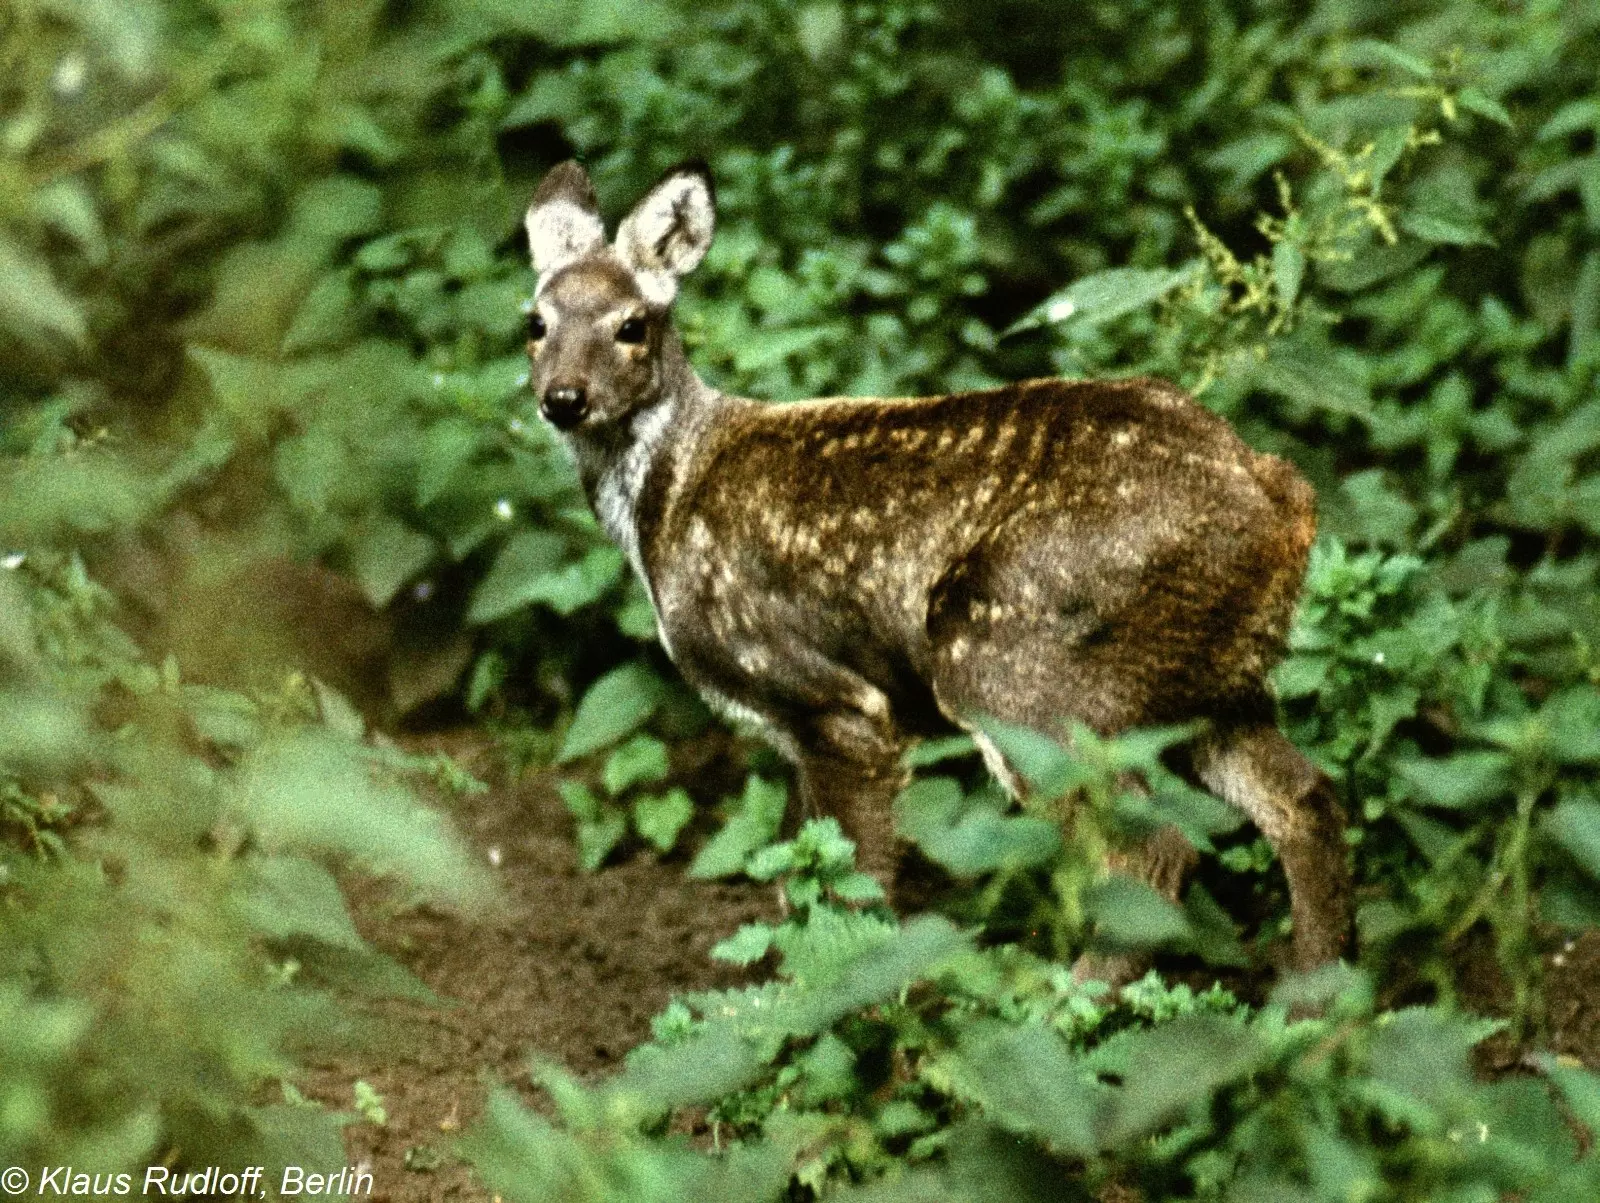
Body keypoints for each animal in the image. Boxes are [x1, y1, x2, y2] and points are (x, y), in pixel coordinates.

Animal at [521, 159, 1350, 979]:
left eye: (632, 324)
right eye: (535, 323)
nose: (563, 398)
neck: (670, 499)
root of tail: (1284, 497)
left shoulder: (833, 698)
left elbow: (849, 894)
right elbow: (796, 881)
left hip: (1015, 664)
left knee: (1152, 843)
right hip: (1218, 680)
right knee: (1302, 797)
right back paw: (1317, 994)